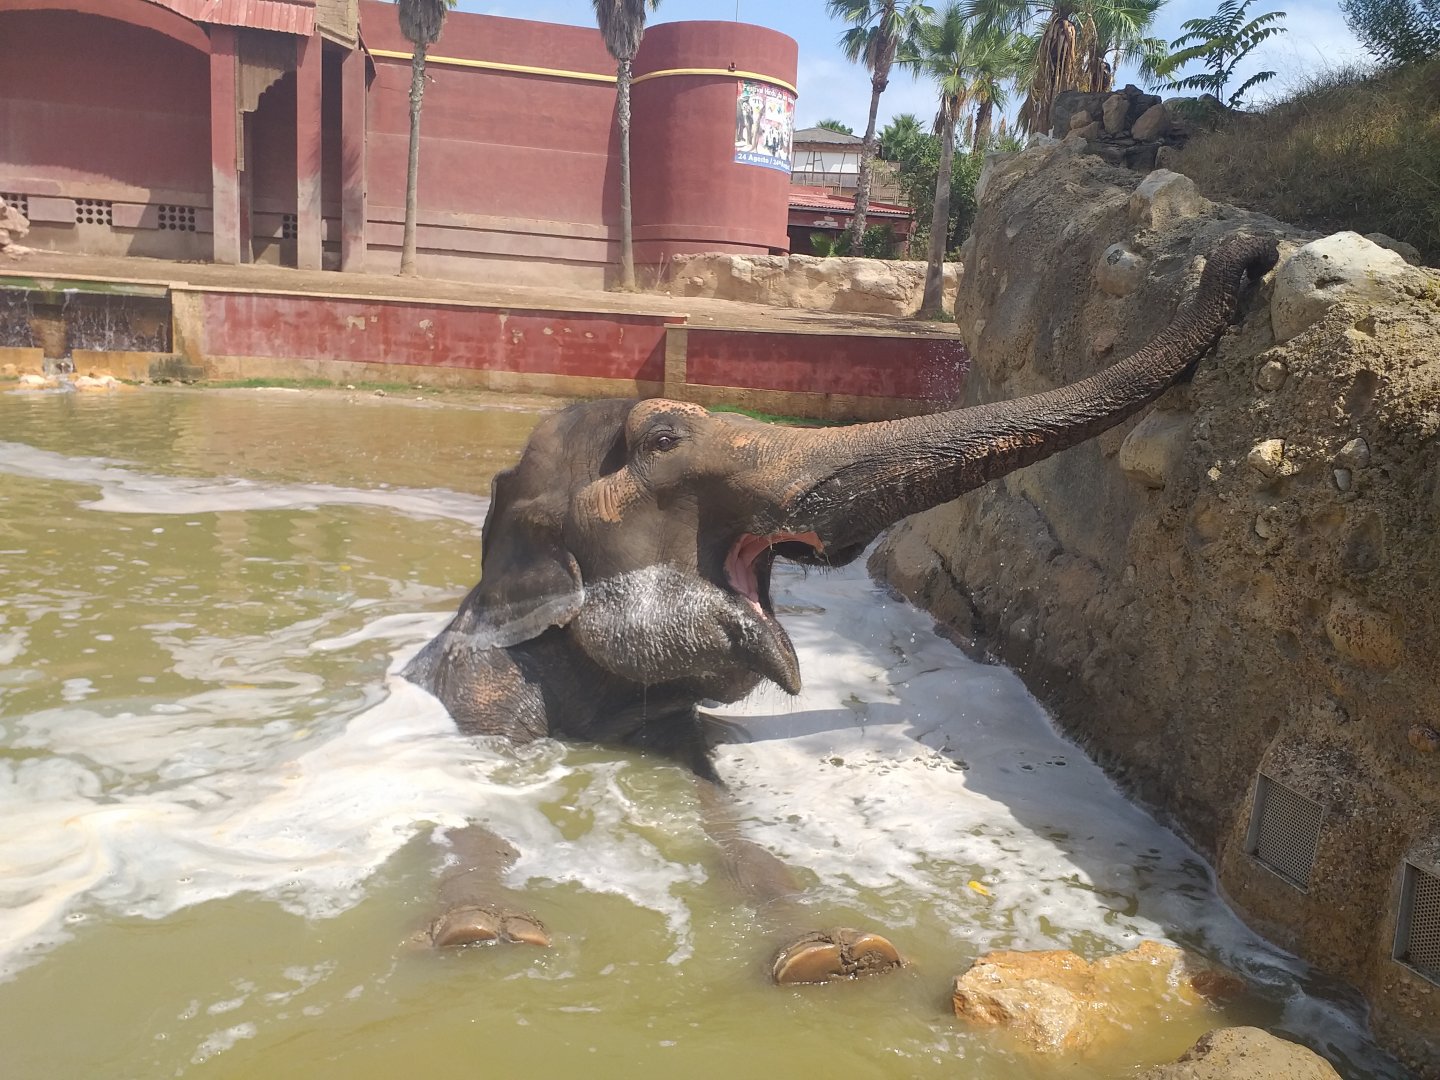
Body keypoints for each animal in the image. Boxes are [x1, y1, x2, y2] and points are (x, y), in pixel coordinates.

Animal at [403, 233, 1279, 981]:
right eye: (663, 441)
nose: (1252, 253)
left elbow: (721, 813)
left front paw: (836, 954)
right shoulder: (480, 689)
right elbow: (469, 793)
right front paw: (482, 931)